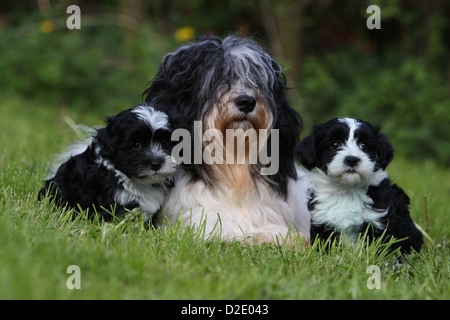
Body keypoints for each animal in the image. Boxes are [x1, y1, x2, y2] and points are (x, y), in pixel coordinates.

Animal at [296, 117, 422, 255]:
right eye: (335, 145)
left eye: (364, 146)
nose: (352, 159)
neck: (347, 189)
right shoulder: (322, 221)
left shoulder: (379, 221)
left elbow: (379, 249)